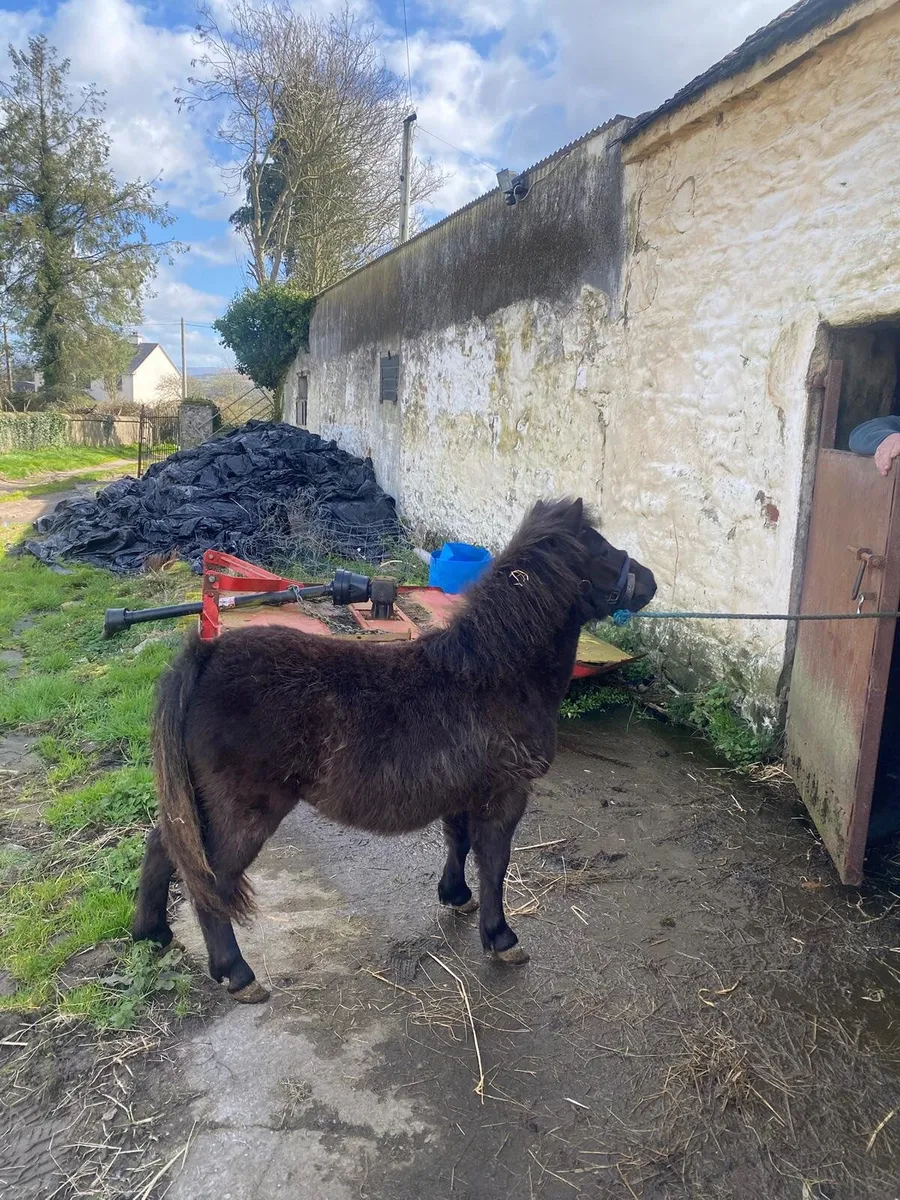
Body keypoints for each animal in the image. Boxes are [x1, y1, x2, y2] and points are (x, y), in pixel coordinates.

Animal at [132, 497, 657, 1003]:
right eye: (600, 547)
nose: (649, 582)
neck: (493, 673)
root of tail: (207, 655)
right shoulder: (505, 794)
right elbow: (495, 862)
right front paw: (500, 937)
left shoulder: (464, 792)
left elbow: (459, 843)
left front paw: (455, 896)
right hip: (245, 811)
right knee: (211, 881)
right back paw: (237, 973)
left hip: (201, 803)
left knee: (165, 846)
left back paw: (151, 933)